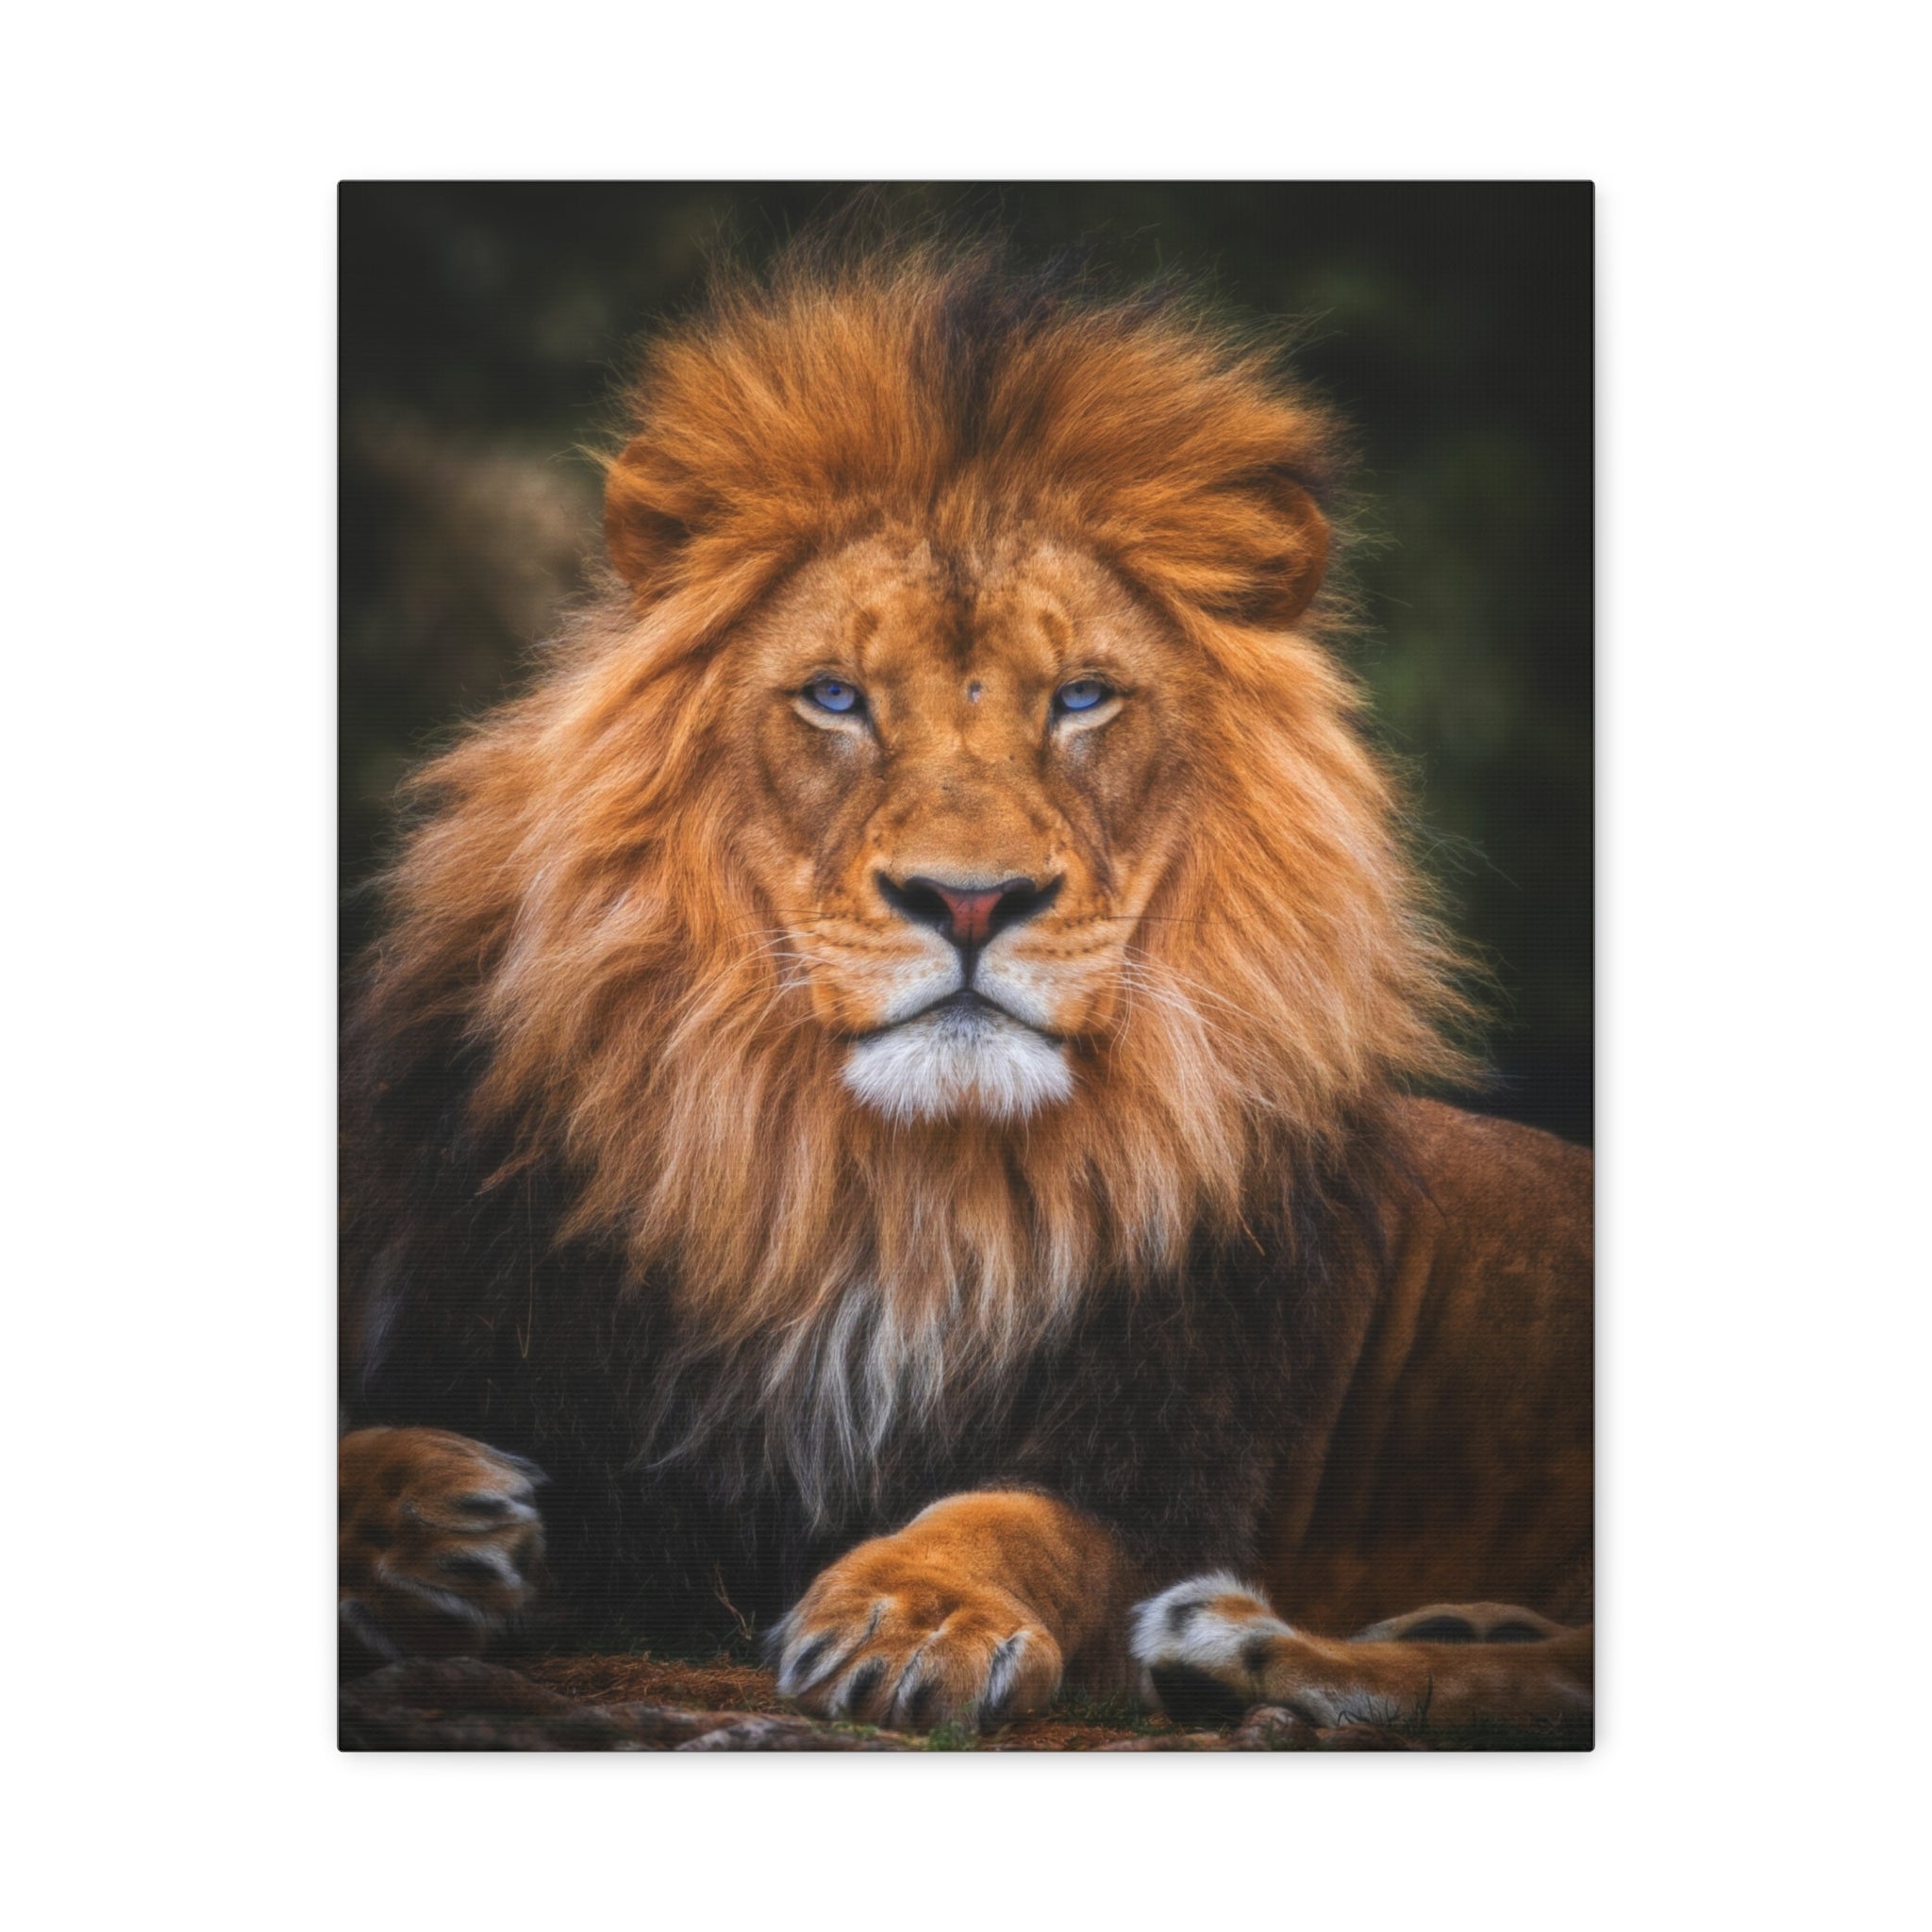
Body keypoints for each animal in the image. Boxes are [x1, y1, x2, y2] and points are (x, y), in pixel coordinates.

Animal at [339, 236, 1593, 1740]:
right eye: (834, 697)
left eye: (1082, 698)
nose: (972, 900)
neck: (886, 1193)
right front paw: (426, 1517)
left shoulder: (1166, 1462)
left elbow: (1016, 1519)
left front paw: (911, 1612)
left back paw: (1239, 1643)